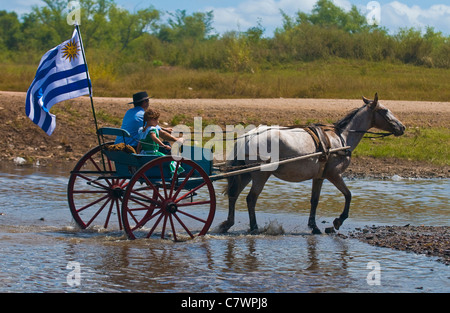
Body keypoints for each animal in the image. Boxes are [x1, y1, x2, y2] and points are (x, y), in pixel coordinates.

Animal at [216, 93, 406, 234]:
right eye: (385, 110)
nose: (402, 127)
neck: (340, 138)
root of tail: (249, 135)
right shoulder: (334, 175)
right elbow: (348, 195)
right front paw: (338, 221)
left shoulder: (319, 177)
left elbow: (314, 200)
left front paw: (314, 226)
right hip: (260, 174)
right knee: (251, 198)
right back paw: (254, 227)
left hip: (246, 173)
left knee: (234, 195)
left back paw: (228, 224)